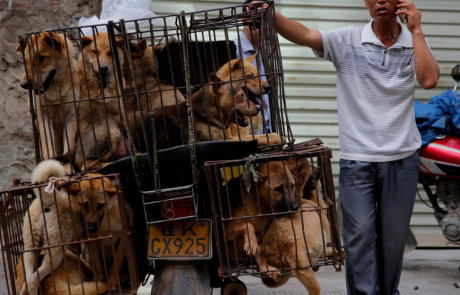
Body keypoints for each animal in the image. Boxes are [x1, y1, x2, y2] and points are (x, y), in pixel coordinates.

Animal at [16, 32, 80, 160]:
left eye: (41, 58)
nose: (23, 85)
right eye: (26, 61)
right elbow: (48, 147)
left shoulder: (70, 113)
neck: (54, 91)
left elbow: (69, 146)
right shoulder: (43, 115)